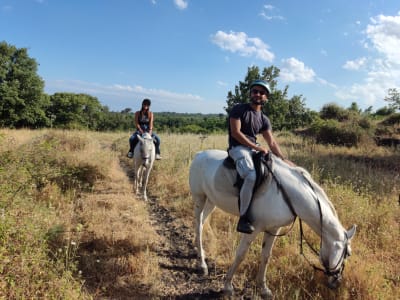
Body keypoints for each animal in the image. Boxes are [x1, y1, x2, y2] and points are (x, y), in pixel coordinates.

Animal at [189, 150, 358, 298]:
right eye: (348, 253)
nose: (336, 282)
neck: (289, 194)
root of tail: (200, 154)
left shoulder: (274, 229)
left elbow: (266, 256)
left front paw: (263, 289)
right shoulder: (254, 228)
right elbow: (241, 254)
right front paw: (227, 286)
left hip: (211, 201)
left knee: (202, 224)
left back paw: (199, 252)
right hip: (199, 198)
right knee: (198, 224)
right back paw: (202, 265)